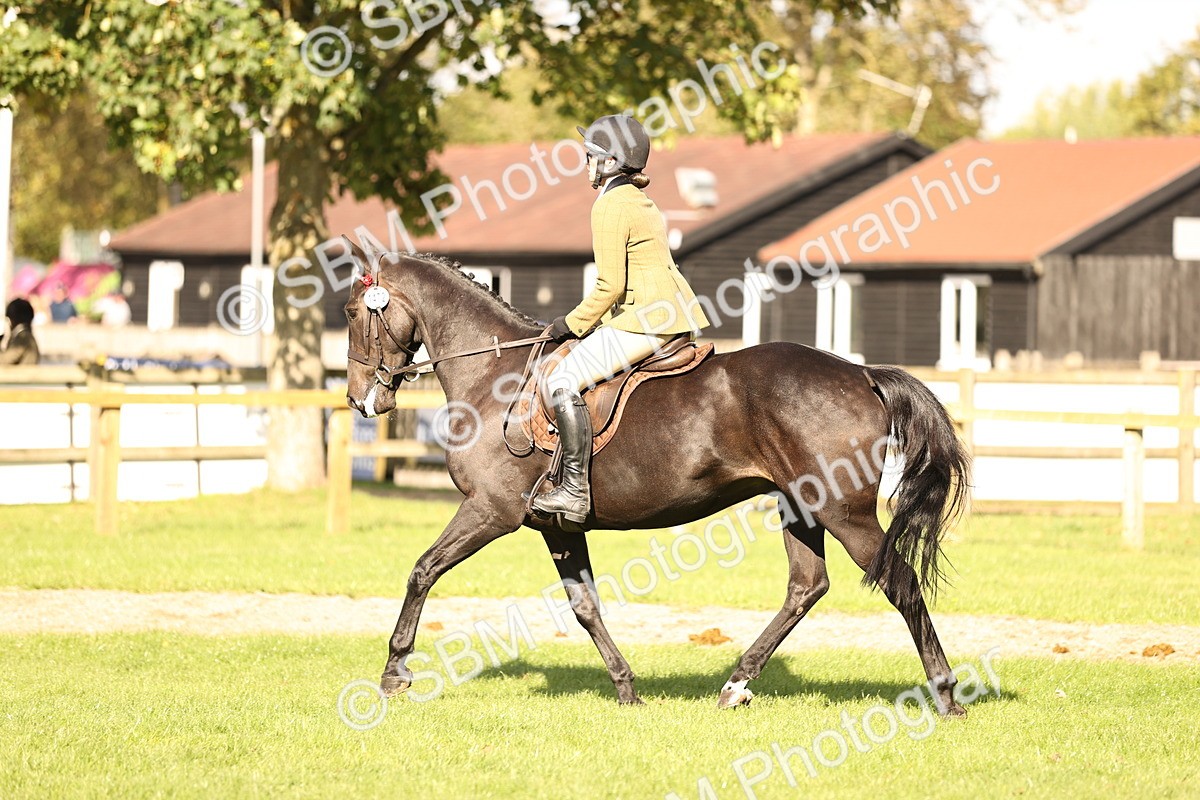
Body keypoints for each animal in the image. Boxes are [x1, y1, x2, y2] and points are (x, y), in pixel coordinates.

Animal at [341, 244, 971, 714]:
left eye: (350, 313)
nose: (360, 400)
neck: (494, 375)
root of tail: (861, 373)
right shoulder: (558, 527)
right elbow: (585, 606)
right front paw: (626, 688)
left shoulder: (490, 510)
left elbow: (422, 570)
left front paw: (394, 670)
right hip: (801, 507)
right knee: (806, 587)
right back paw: (736, 684)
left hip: (844, 512)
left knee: (899, 583)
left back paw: (944, 696)